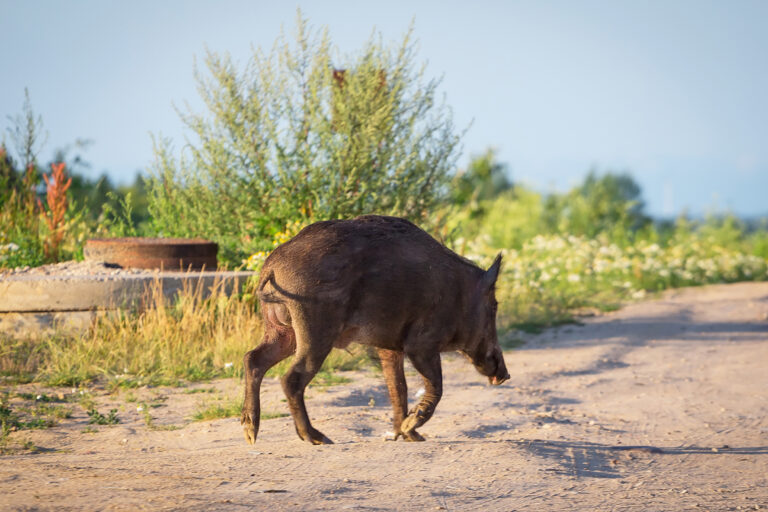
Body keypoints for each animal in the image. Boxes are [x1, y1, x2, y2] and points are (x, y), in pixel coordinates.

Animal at [241, 215, 509, 445]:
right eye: (494, 306)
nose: (505, 375)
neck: (459, 294)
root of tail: (272, 266)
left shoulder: (389, 347)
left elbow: (397, 387)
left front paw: (409, 436)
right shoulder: (421, 344)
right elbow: (436, 386)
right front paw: (411, 429)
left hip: (282, 331)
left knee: (253, 359)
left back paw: (251, 434)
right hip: (314, 329)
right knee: (291, 378)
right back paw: (319, 438)